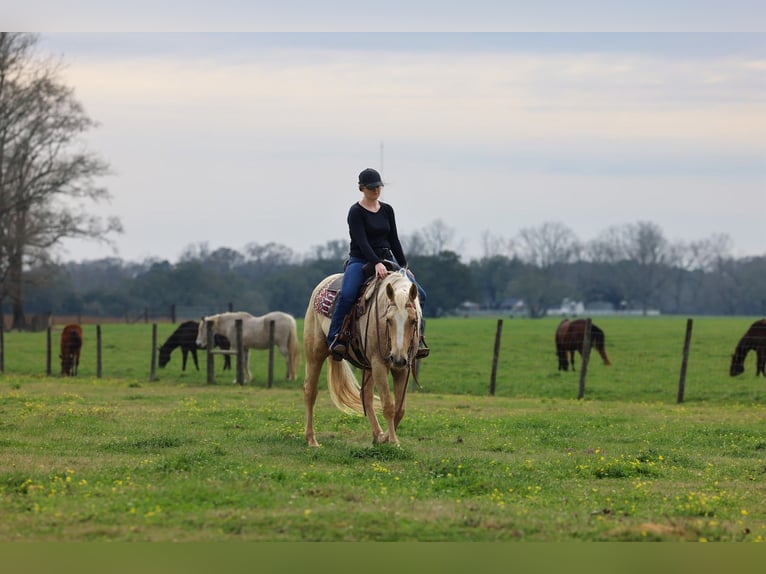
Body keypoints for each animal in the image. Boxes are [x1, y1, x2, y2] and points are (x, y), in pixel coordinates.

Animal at [303, 268, 423, 447]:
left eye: (414, 320)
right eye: (388, 320)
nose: (397, 358)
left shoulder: (402, 369)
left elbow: (400, 409)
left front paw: (384, 438)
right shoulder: (379, 364)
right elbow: (388, 406)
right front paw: (394, 442)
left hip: (368, 367)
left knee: (366, 397)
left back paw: (377, 434)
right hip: (314, 353)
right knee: (310, 391)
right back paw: (311, 439)